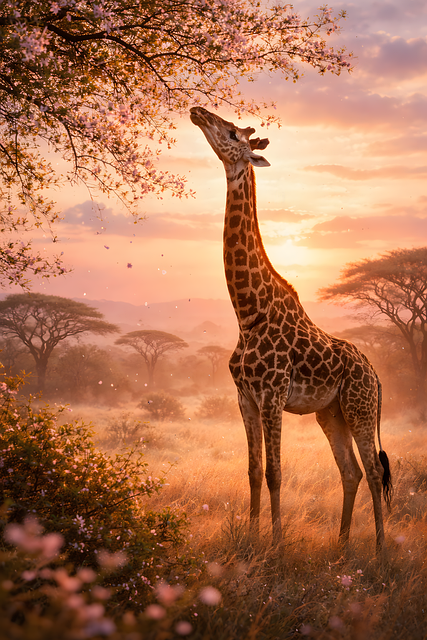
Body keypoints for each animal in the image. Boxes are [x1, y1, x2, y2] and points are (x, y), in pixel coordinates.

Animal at [190, 106, 392, 550]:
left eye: (232, 133)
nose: (197, 112)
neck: (248, 313)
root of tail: (376, 375)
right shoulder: (245, 398)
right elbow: (252, 471)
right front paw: (251, 539)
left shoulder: (272, 395)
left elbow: (275, 473)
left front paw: (278, 546)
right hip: (331, 414)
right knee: (351, 471)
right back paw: (342, 546)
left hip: (360, 409)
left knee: (373, 471)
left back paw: (380, 551)